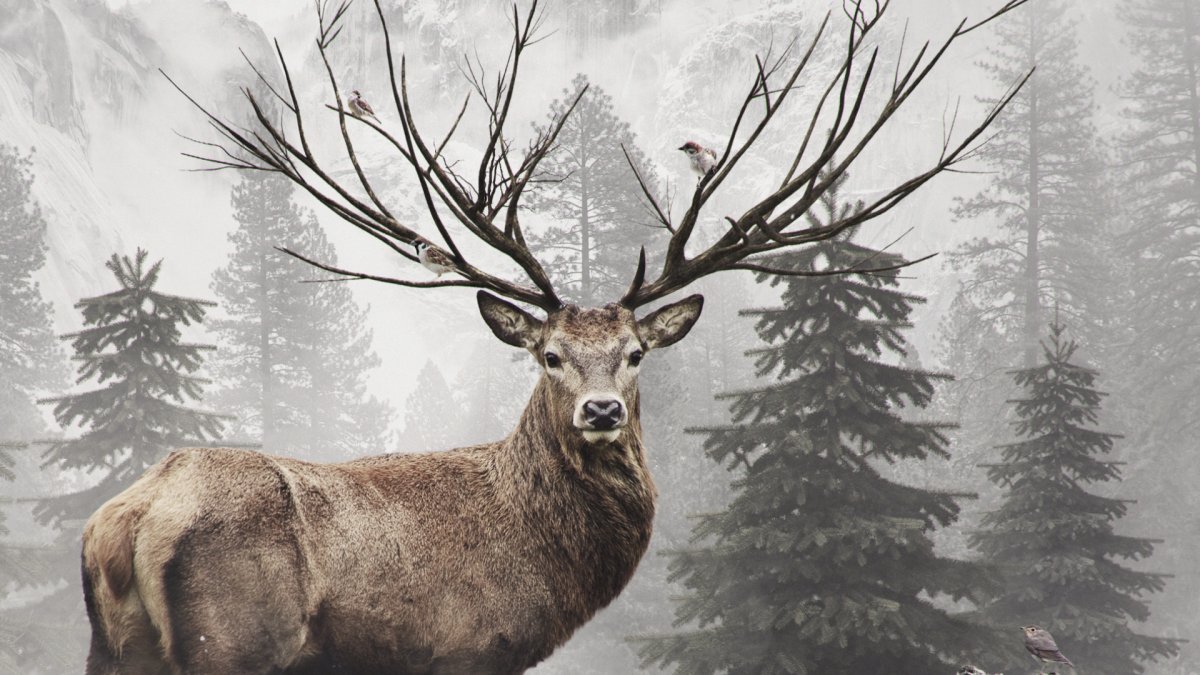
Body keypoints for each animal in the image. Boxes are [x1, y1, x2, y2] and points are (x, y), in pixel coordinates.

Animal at [83, 1, 1029, 673]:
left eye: (636, 353)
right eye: (549, 355)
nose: (603, 411)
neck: (540, 555)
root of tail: (129, 521)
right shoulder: (467, 647)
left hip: (115, 651)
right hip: (234, 639)